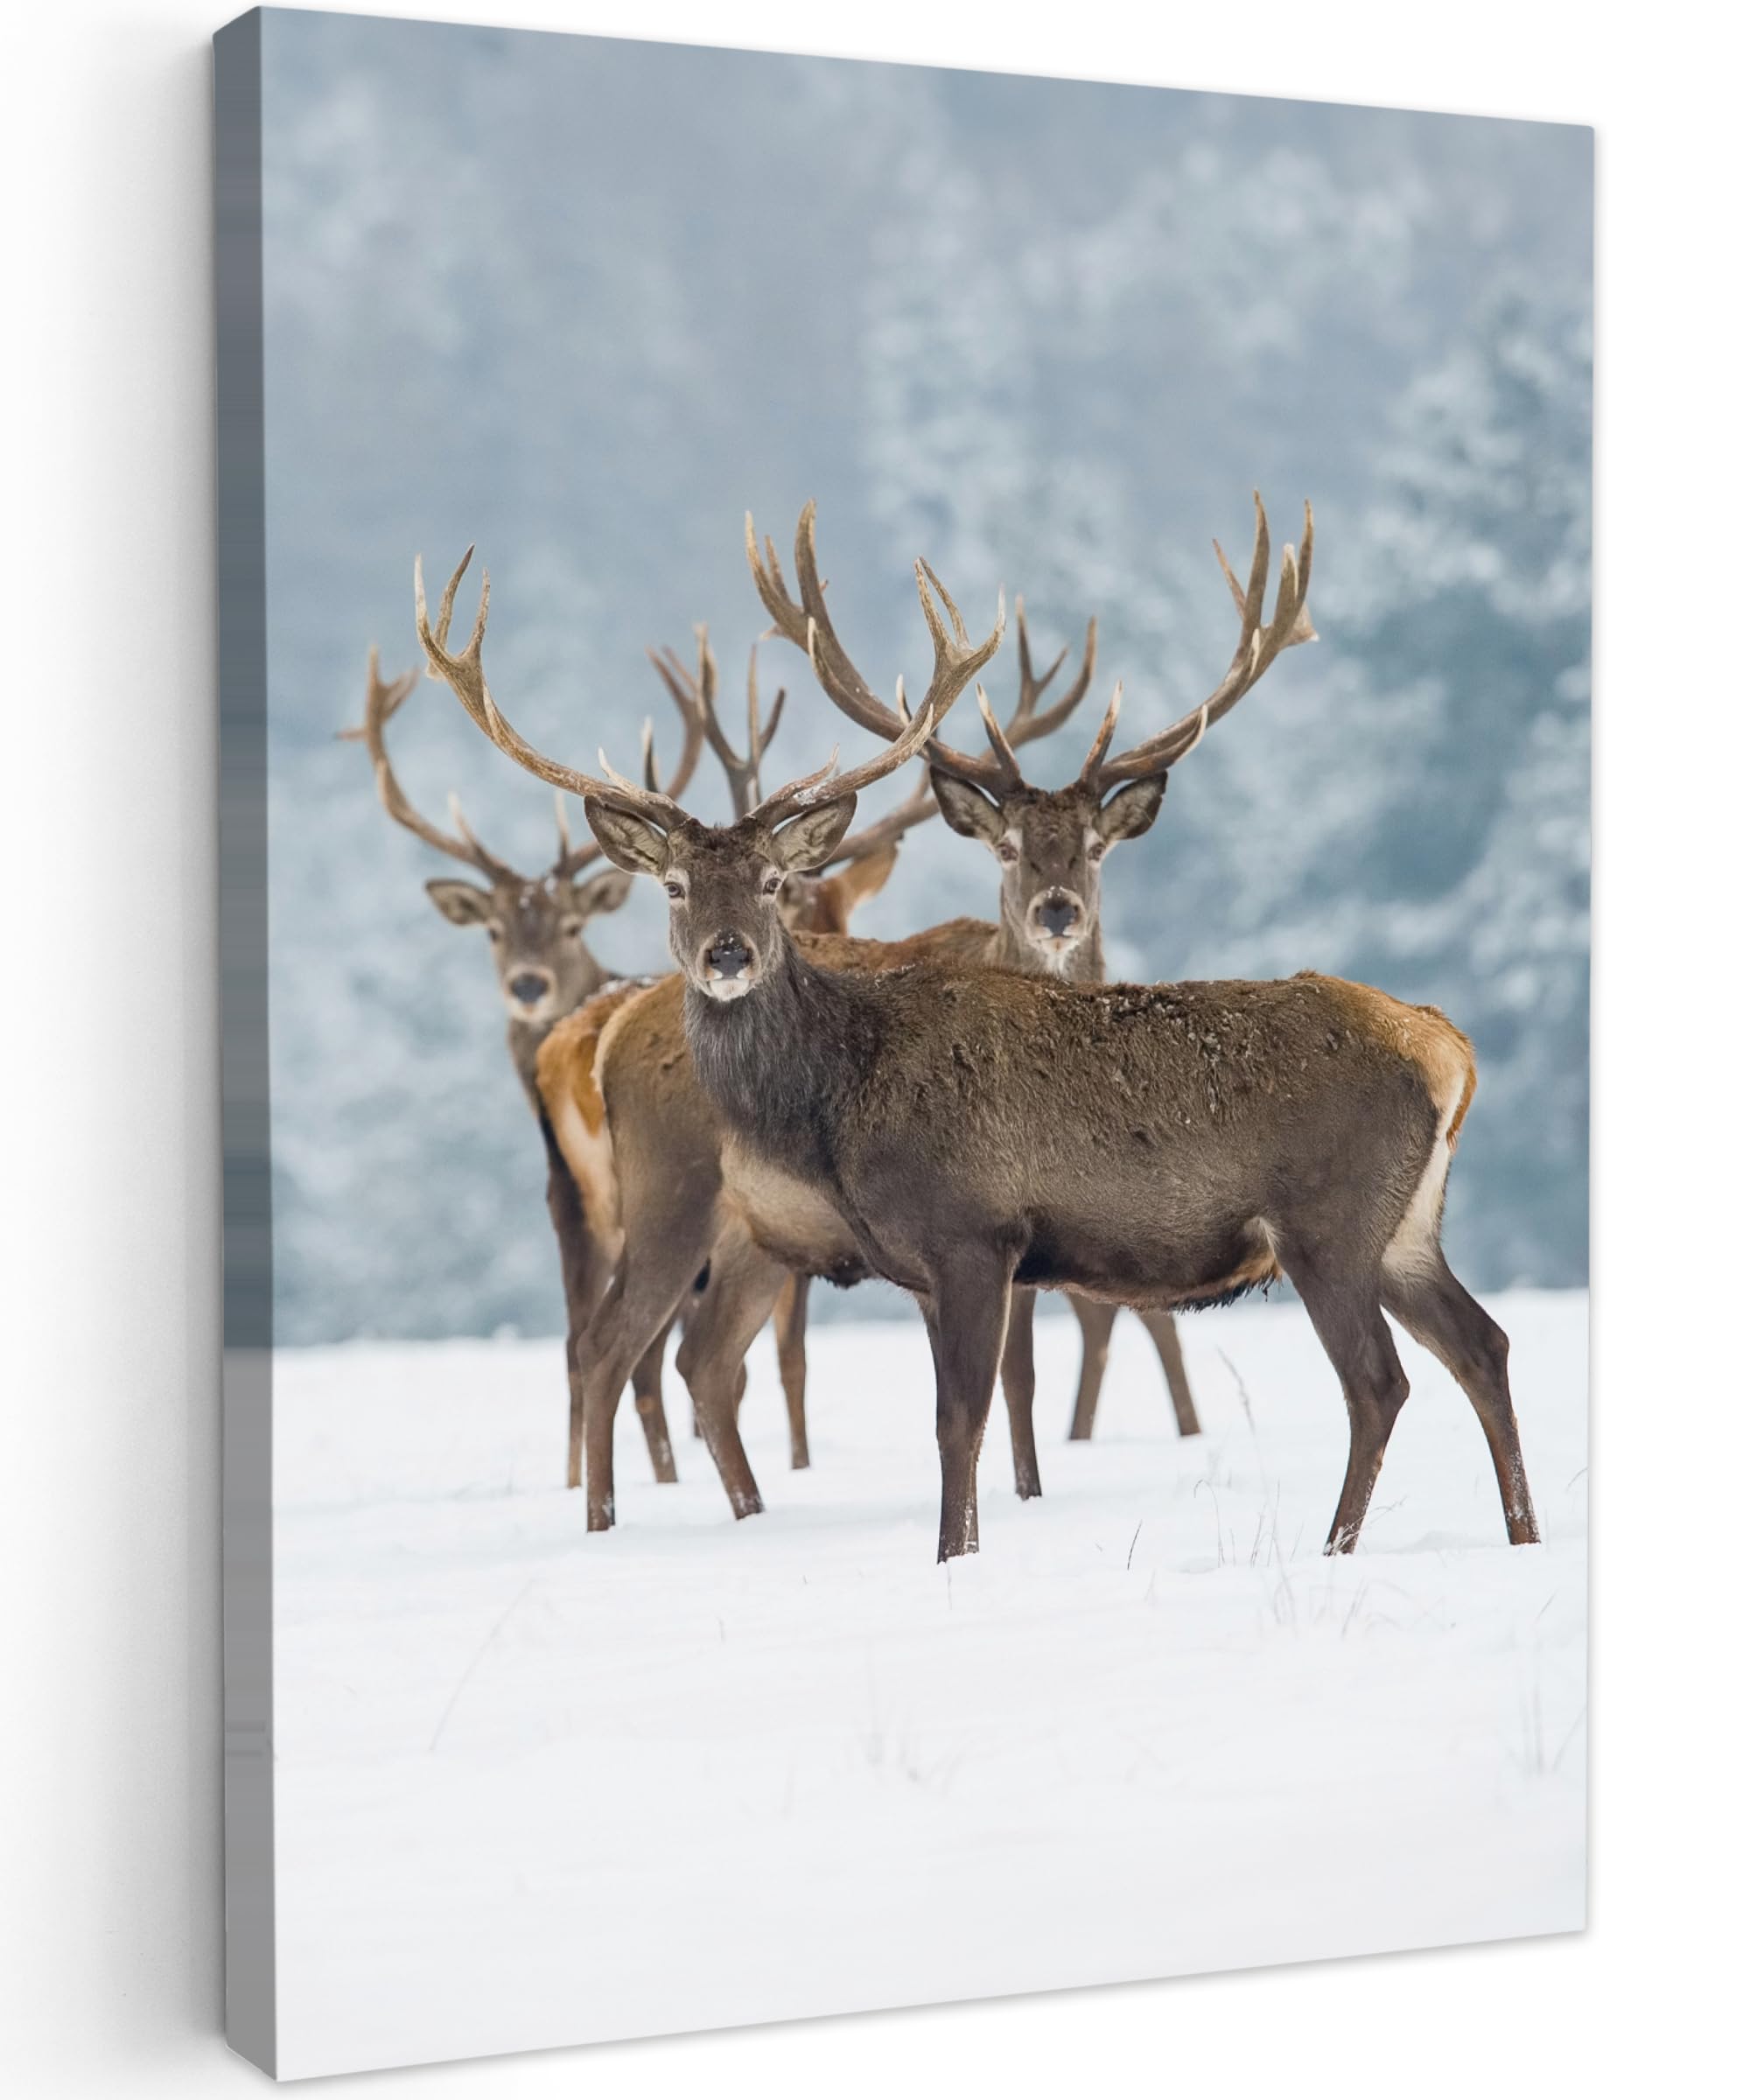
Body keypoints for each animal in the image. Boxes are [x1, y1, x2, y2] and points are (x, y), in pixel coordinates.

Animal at [430, 499, 1542, 1565]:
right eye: (673, 886)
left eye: (772, 880)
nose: (726, 953)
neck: (840, 1099)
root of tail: (1447, 1049)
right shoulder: (932, 1265)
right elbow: (965, 1412)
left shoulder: (974, 1232)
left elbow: (960, 1420)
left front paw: (950, 1560)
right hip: (1404, 1227)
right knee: (1482, 1346)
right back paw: (1518, 1534)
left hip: (1328, 1220)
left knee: (1379, 1381)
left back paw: (1337, 1546)